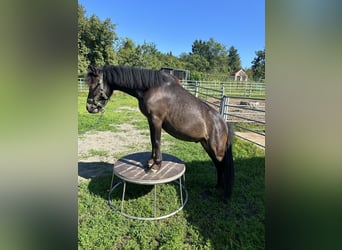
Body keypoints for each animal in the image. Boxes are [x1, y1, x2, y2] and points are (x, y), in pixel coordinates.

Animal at [85, 64, 235, 199]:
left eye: (95, 84)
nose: (89, 107)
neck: (152, 88)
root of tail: (223, 123)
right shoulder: (150, 121)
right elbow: (152, 141)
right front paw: (151, 162)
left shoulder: (156, 120)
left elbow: (156, 141)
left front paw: (156, 166)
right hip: (207, 146)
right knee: (219, 167)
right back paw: (217, 187)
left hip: (216, 150)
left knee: (224, 167)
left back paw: (224, 193)